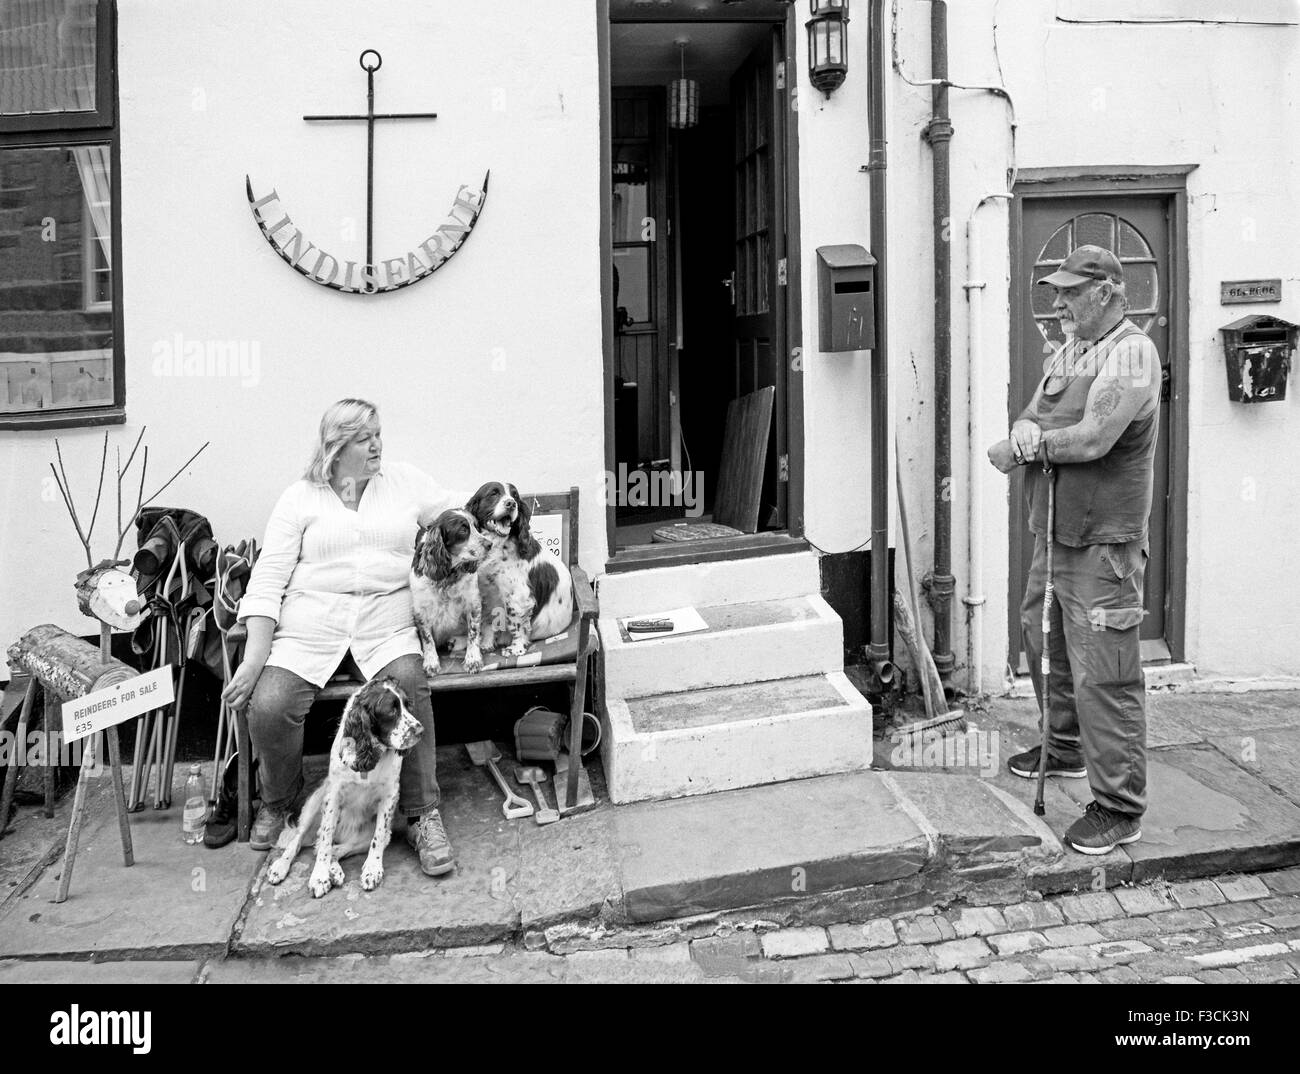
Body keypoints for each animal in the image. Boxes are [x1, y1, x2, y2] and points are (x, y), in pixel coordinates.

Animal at [262, 676, 421, 894]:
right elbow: (325, 836)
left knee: (336, 847)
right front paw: (319, 877)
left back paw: (335, 870)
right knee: (304, 840)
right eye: (391, 711)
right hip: (315, 804)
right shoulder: (334, 793)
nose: (420, 730)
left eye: (407, 705)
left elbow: (377, 837)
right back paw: (281, 866)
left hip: (373, 834)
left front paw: (372, 870)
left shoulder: (390, 795)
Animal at [410, 509, 488, 670]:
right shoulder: (420, 610)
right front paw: (431, 661)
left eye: (477, 527)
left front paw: (473, 659)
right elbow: (427, 638)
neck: (447, 576)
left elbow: (473, 632)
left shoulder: (473, 603)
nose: (490, 544)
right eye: (463, 530)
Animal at [465, 483, 572, 652]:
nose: (511, 504)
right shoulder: (487, 592)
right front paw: (487, 644)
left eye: (515, 496)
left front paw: (516, 649)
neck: (497, 546)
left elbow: (515, 623)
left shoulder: (518, 596)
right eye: (493, 493)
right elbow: (489, 620)